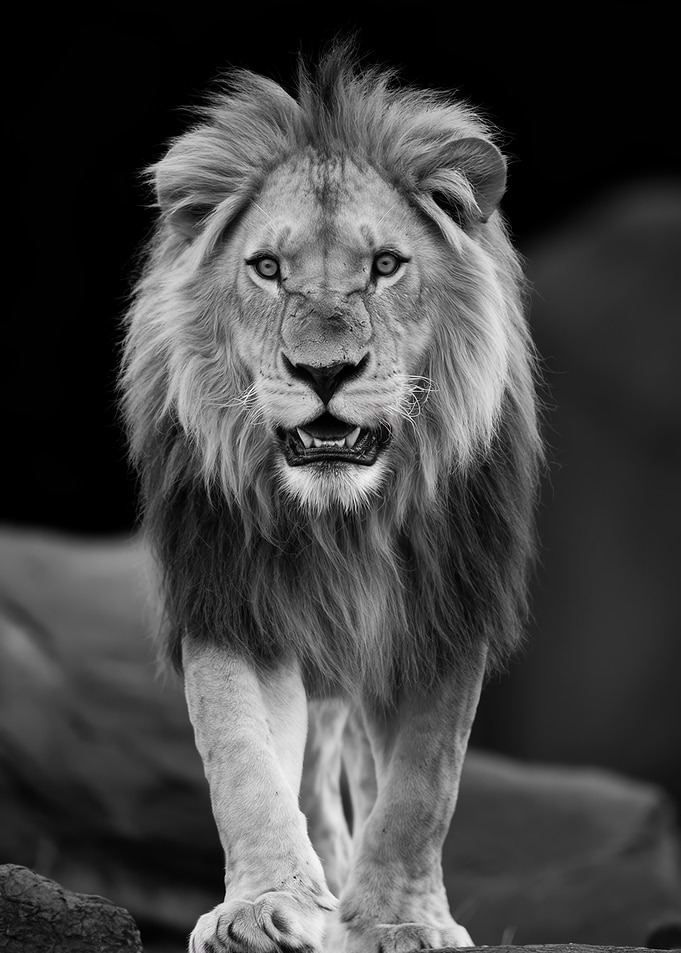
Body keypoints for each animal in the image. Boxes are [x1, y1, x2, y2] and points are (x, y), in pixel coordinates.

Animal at [121, 43, 541, 953]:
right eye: (267, 269)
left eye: (384, 265)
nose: (324, 372)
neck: (340, 517)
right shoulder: (229, 594)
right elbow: (242, 762)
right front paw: (261, 906)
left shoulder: (441, 610)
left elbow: (421, 786)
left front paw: (397, 918)